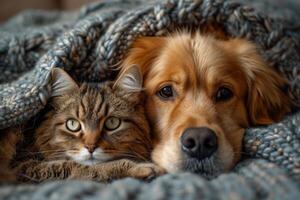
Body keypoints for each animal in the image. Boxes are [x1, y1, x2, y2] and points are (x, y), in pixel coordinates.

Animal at [0, 66, 164, 183]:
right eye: (73, 124)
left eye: (112, 123)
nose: (90, 147)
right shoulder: (21, 167)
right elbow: (79, 166)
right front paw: (140, 168)